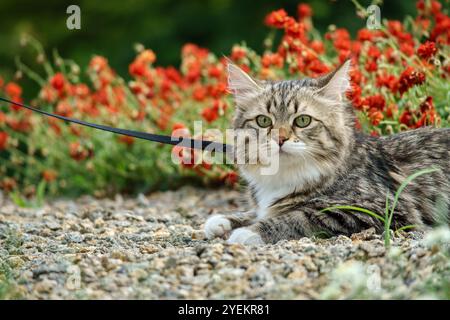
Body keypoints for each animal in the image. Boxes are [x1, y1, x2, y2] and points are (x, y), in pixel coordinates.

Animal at [205, 60, 450, 245]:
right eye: (263, 121)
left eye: (303, 121)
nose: (280, 139)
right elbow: (255, 212)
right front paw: (221, 221)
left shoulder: (381, 210)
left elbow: (296, 217)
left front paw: (249, 232)